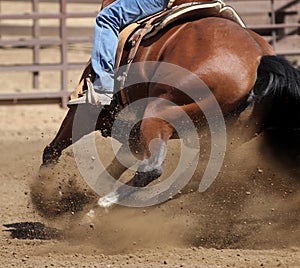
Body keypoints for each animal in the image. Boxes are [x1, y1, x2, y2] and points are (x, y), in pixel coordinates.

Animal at [39, 0, 300, 209]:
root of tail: (259, 60)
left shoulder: (88, 110)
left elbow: (54, 148)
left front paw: (41, 195)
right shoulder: (134, 133)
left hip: (160, 111)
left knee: (153, 168)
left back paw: (103, 205)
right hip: (216, 136)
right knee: (195, 177)